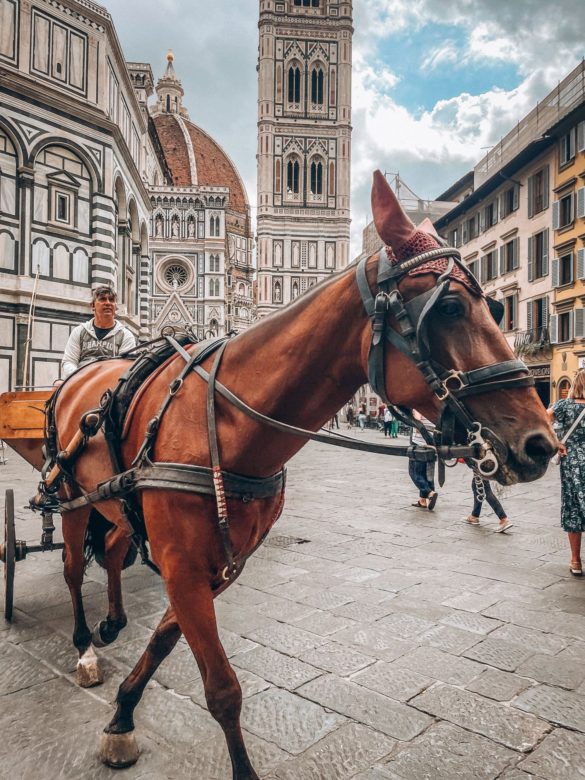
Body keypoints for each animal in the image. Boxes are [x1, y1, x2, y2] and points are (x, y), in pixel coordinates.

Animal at [52, 172, 556, 780]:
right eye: (452, 306)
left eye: (497, 309)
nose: (543, 442)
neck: (227, 420)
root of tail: (87, 370)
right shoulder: (184, 565)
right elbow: (222, 690)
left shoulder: (215, 567)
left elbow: (165, 641)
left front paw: (124, 712)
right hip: (70, 498)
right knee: (74, 566)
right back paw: (84, 644)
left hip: (115, 503)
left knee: (113, 547)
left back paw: (112, 622)